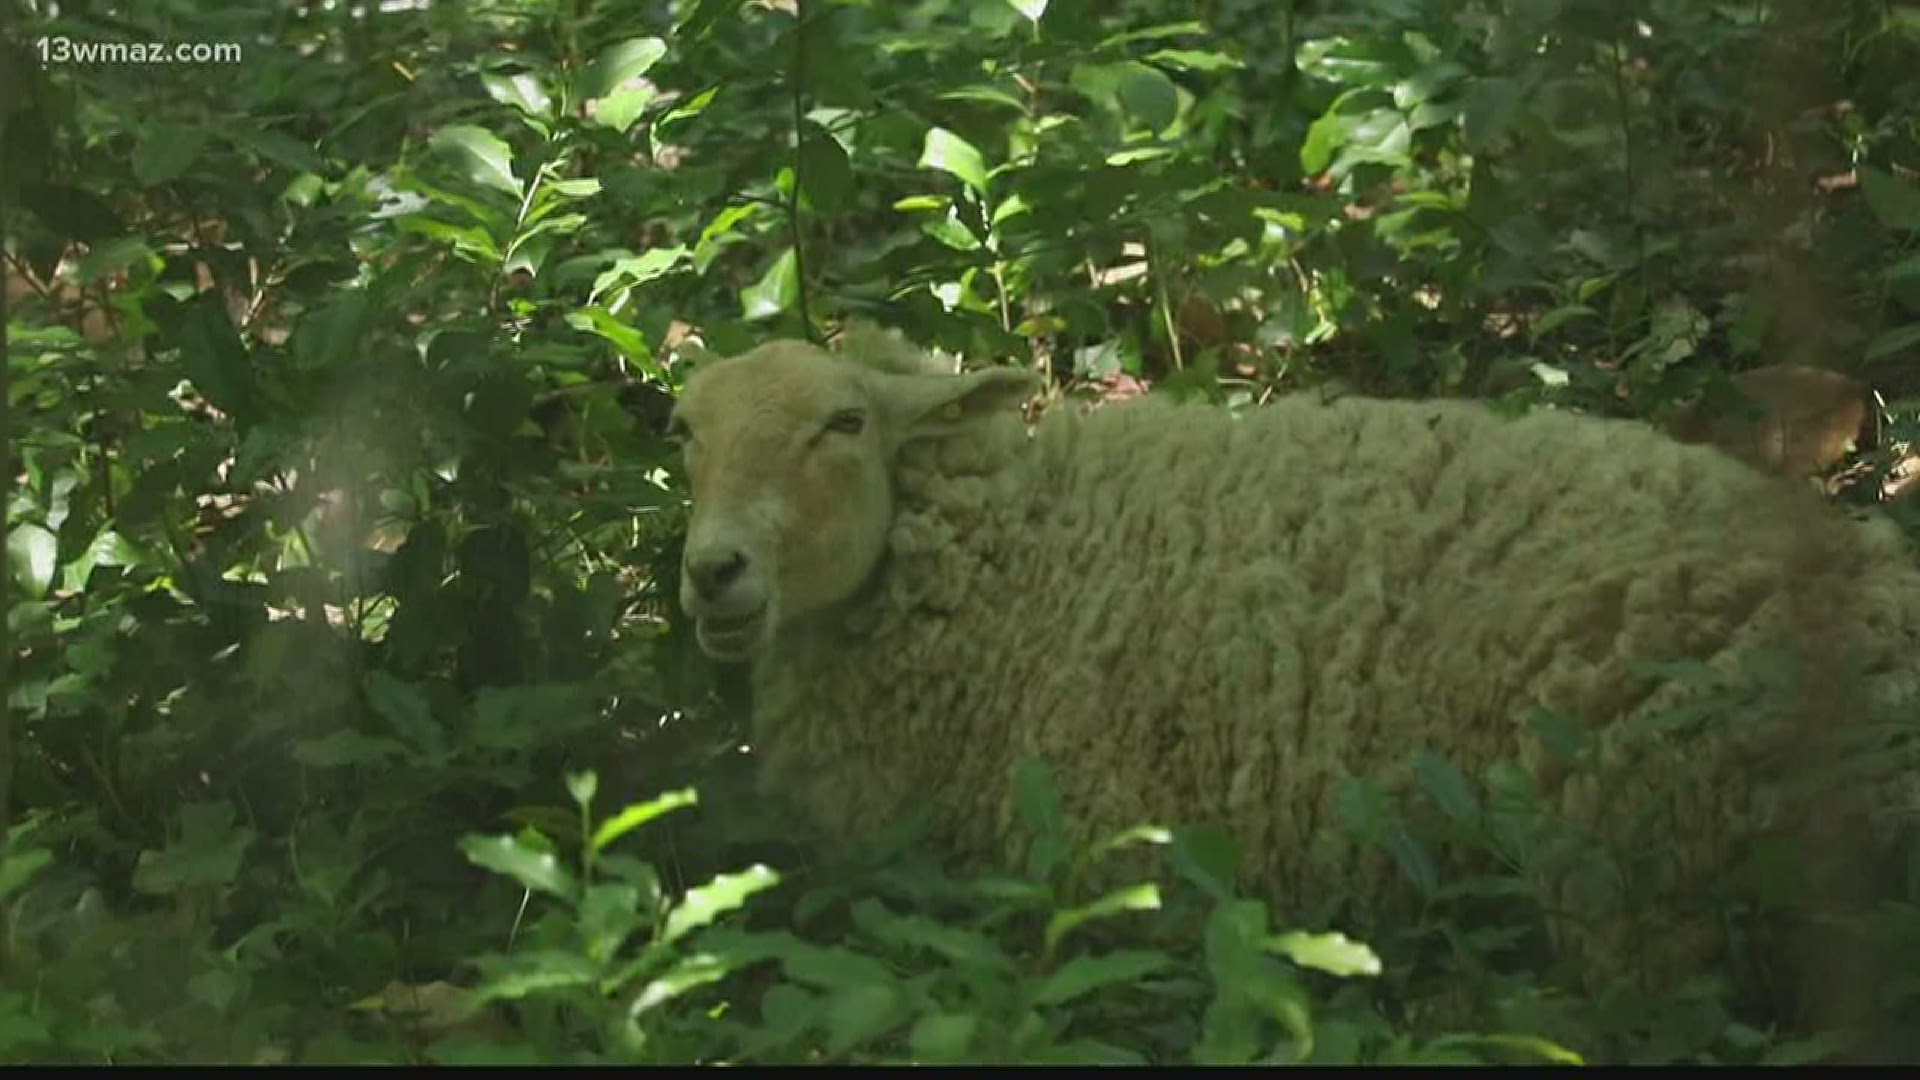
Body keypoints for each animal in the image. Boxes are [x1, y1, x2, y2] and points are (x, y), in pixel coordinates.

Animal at [664, 326, 1920, 991]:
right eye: (685, 431)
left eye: (844, 427)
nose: (713, 572)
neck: (1025, 551)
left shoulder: (1118, 867)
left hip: (1628, 839)